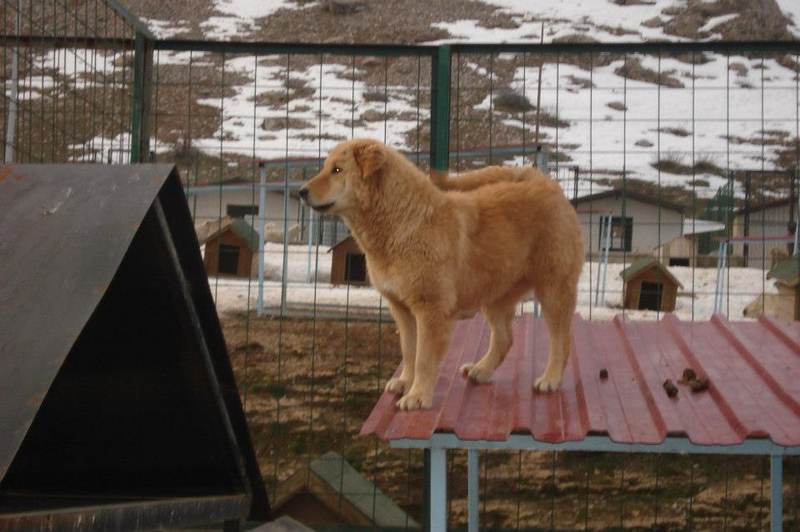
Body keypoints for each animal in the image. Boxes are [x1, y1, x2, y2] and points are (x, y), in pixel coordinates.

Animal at [298, 139, 580, 410]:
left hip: (553, 289)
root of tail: (545, 183)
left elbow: (424, 358)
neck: (402, 224)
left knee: (562, 340)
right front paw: (405, 382)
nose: (301, 192)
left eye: (337, 170)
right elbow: (409, 351)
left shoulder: (430, 308)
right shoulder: (401, 309)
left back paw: (550, 379)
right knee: (505, 339)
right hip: (494, 295)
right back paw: (481, 369)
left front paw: (417, 396)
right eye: (326, 168)